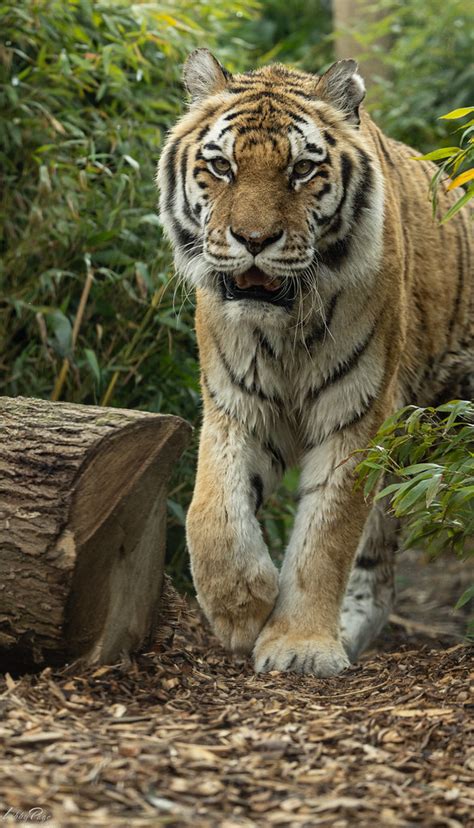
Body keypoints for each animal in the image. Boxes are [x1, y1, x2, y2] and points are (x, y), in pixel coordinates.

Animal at [157, 48, 472, 676]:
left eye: (301, 170)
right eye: (221, 167)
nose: (254, 239)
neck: (285, 327)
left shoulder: (358, 410)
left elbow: (326, 533)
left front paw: (300, 644)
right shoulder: (234, 402)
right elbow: (211, 509)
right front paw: (243, 605)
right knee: (377, 569)